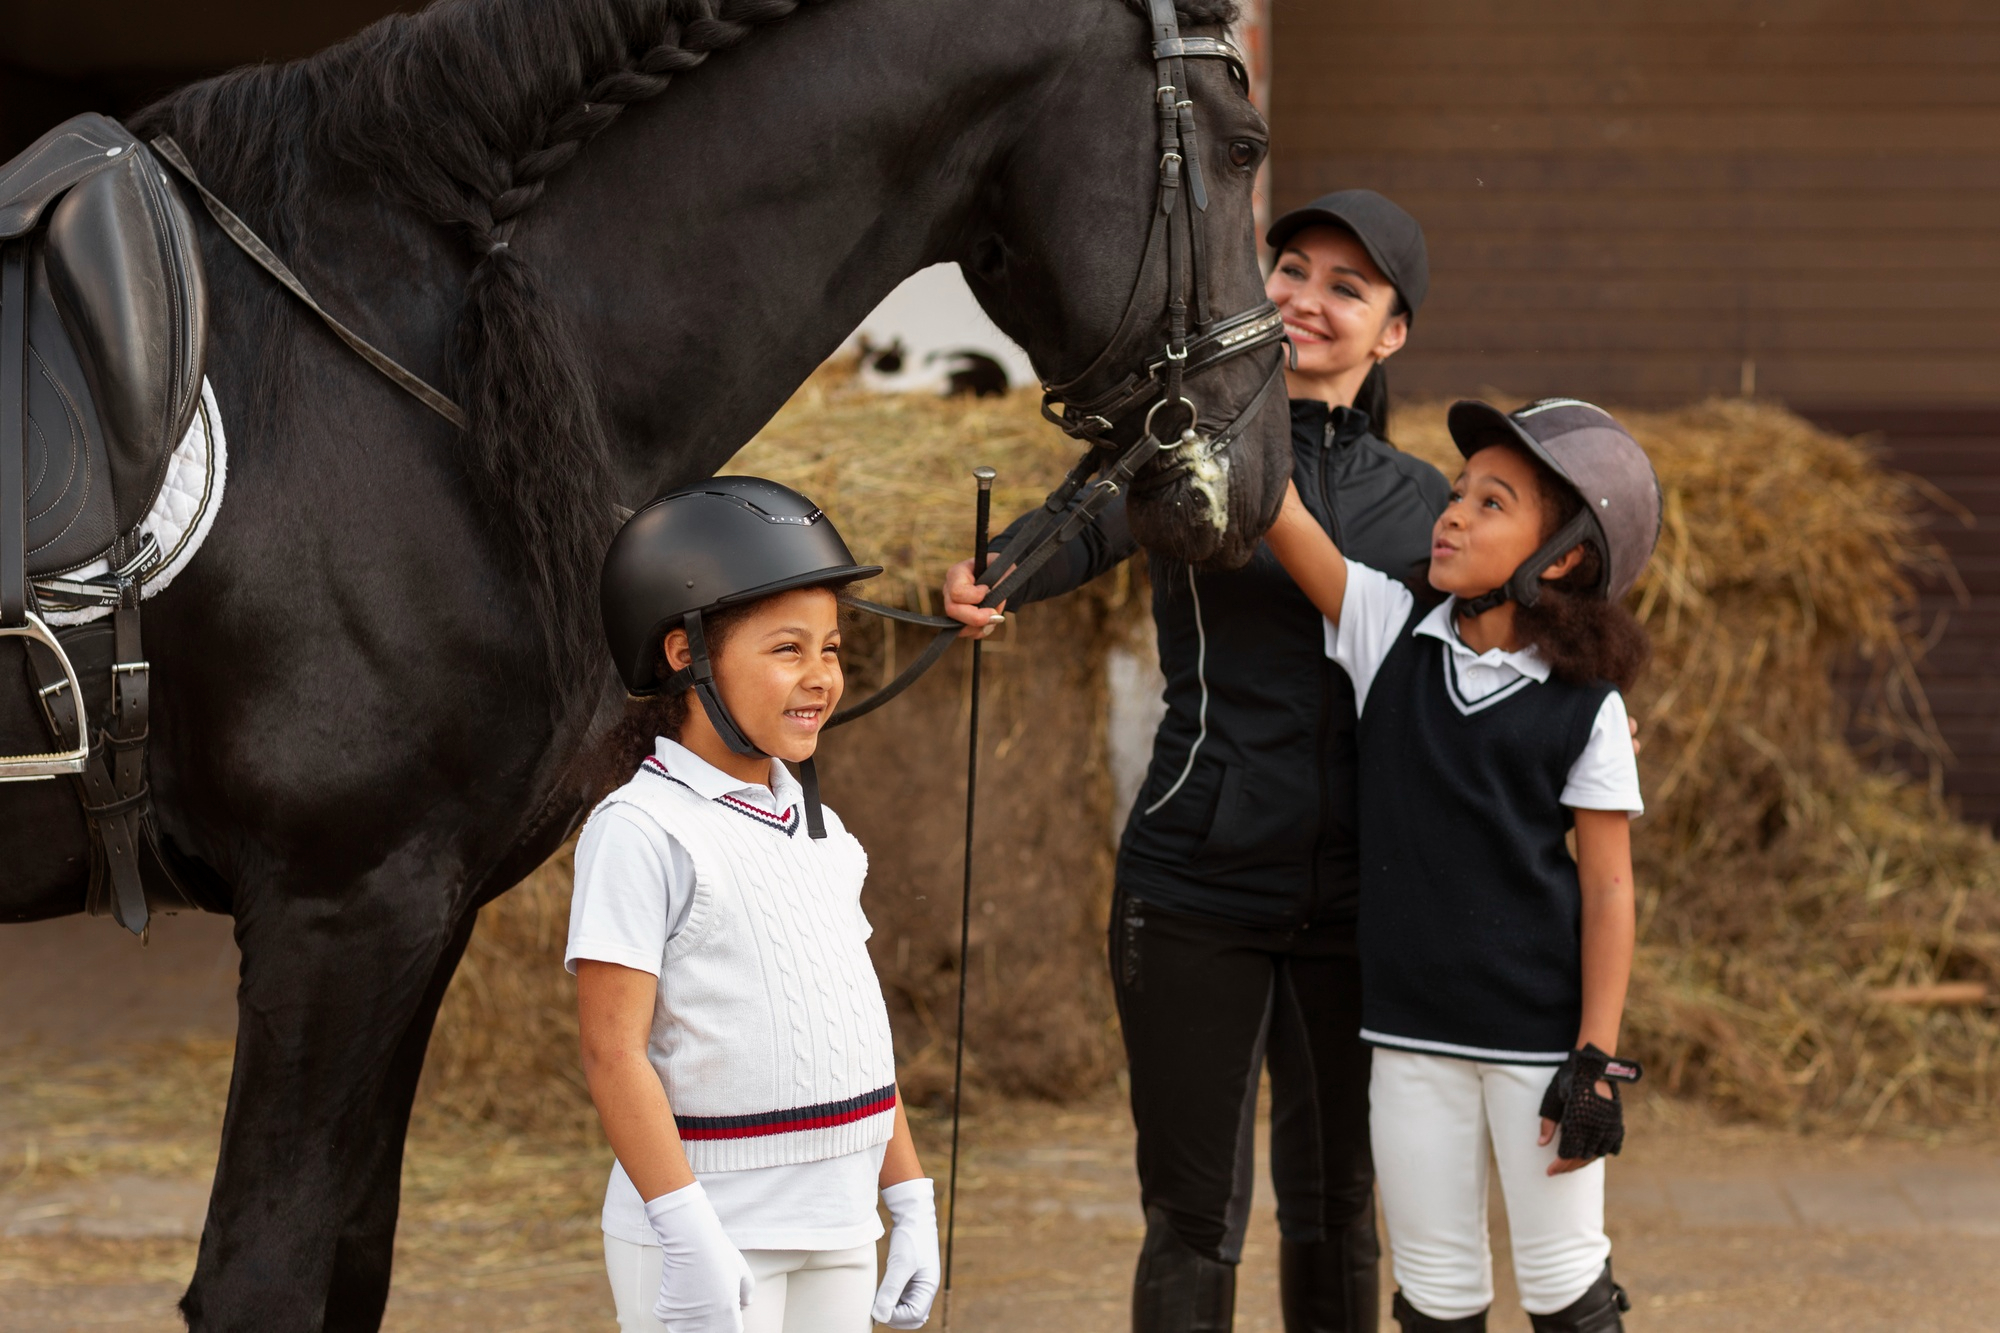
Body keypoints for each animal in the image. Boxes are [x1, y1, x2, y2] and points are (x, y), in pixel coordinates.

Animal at [0, 0, 1280, 1320]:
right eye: (1242, 147)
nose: (1254, 478)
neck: (414, 378)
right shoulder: (336, 908)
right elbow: (265, 1274)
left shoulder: (418, 909)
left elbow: (352, 1254)